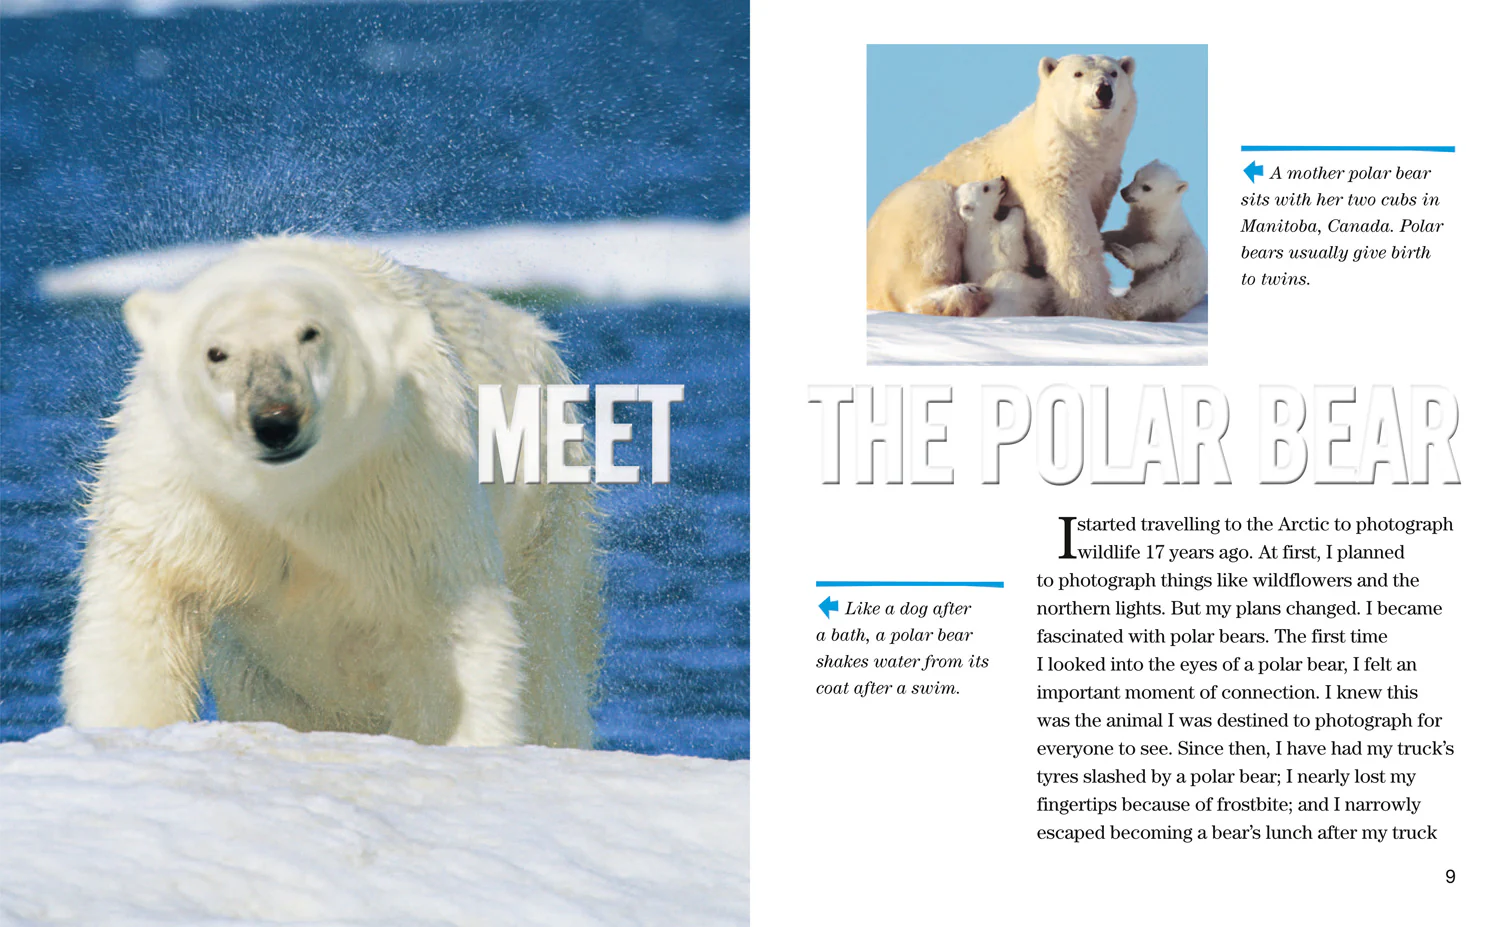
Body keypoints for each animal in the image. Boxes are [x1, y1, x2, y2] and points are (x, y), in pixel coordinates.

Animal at [61, 236, 602, 749]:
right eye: (216, 352)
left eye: (310, 333)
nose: (274, 420)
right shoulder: (178, 488)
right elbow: (141, 610)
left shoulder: (404, 481)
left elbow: (442, 624)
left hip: (547, 513)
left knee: (548, 657)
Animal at [955, 177, 1053, 318]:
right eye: (986, 188)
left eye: (981, 182)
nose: (1001, 178)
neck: (979, 224)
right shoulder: (991, 242)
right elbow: (1010, 246)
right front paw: (1016, 209)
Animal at [1103, 160, 1207, 322]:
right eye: (1135, 176)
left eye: (1147, 187)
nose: (1124, 192)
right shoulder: (1136, 228)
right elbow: (1122, 235)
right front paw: (1103, 238)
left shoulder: (1169, 240)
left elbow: (1154, 252)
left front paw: (1123, 254)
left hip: (1178, 279)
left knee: (1154, 290)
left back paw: (1118, 307)